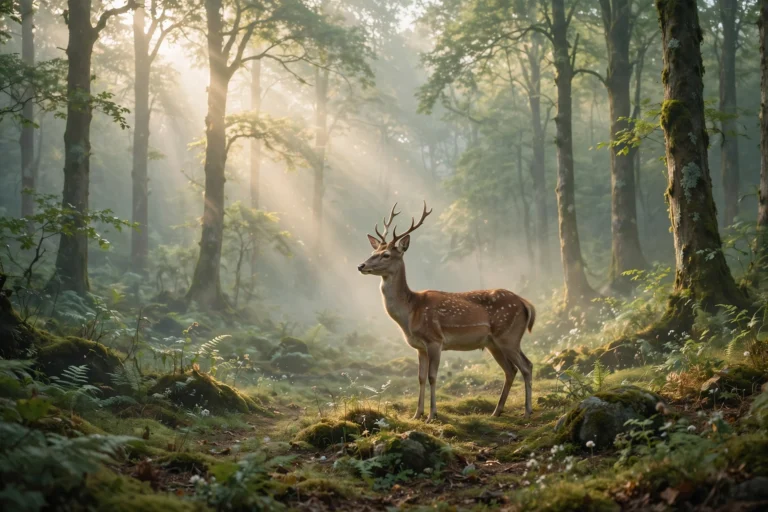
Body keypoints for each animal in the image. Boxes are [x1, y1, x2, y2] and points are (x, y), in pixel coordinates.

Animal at [358, 201, 535, 421]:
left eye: (386, 255)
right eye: (373, 252)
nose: (361, 265)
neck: (410, 312)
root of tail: (525, 303)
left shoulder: (435, 339)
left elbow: (432, 377)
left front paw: (432, 414)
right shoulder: (419, 347)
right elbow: (420, 378)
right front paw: (417, 414)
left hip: (508, 335)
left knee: (526, 366)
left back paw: (527, 411)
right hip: (494, 342)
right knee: (511, 370)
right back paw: (496, 411)